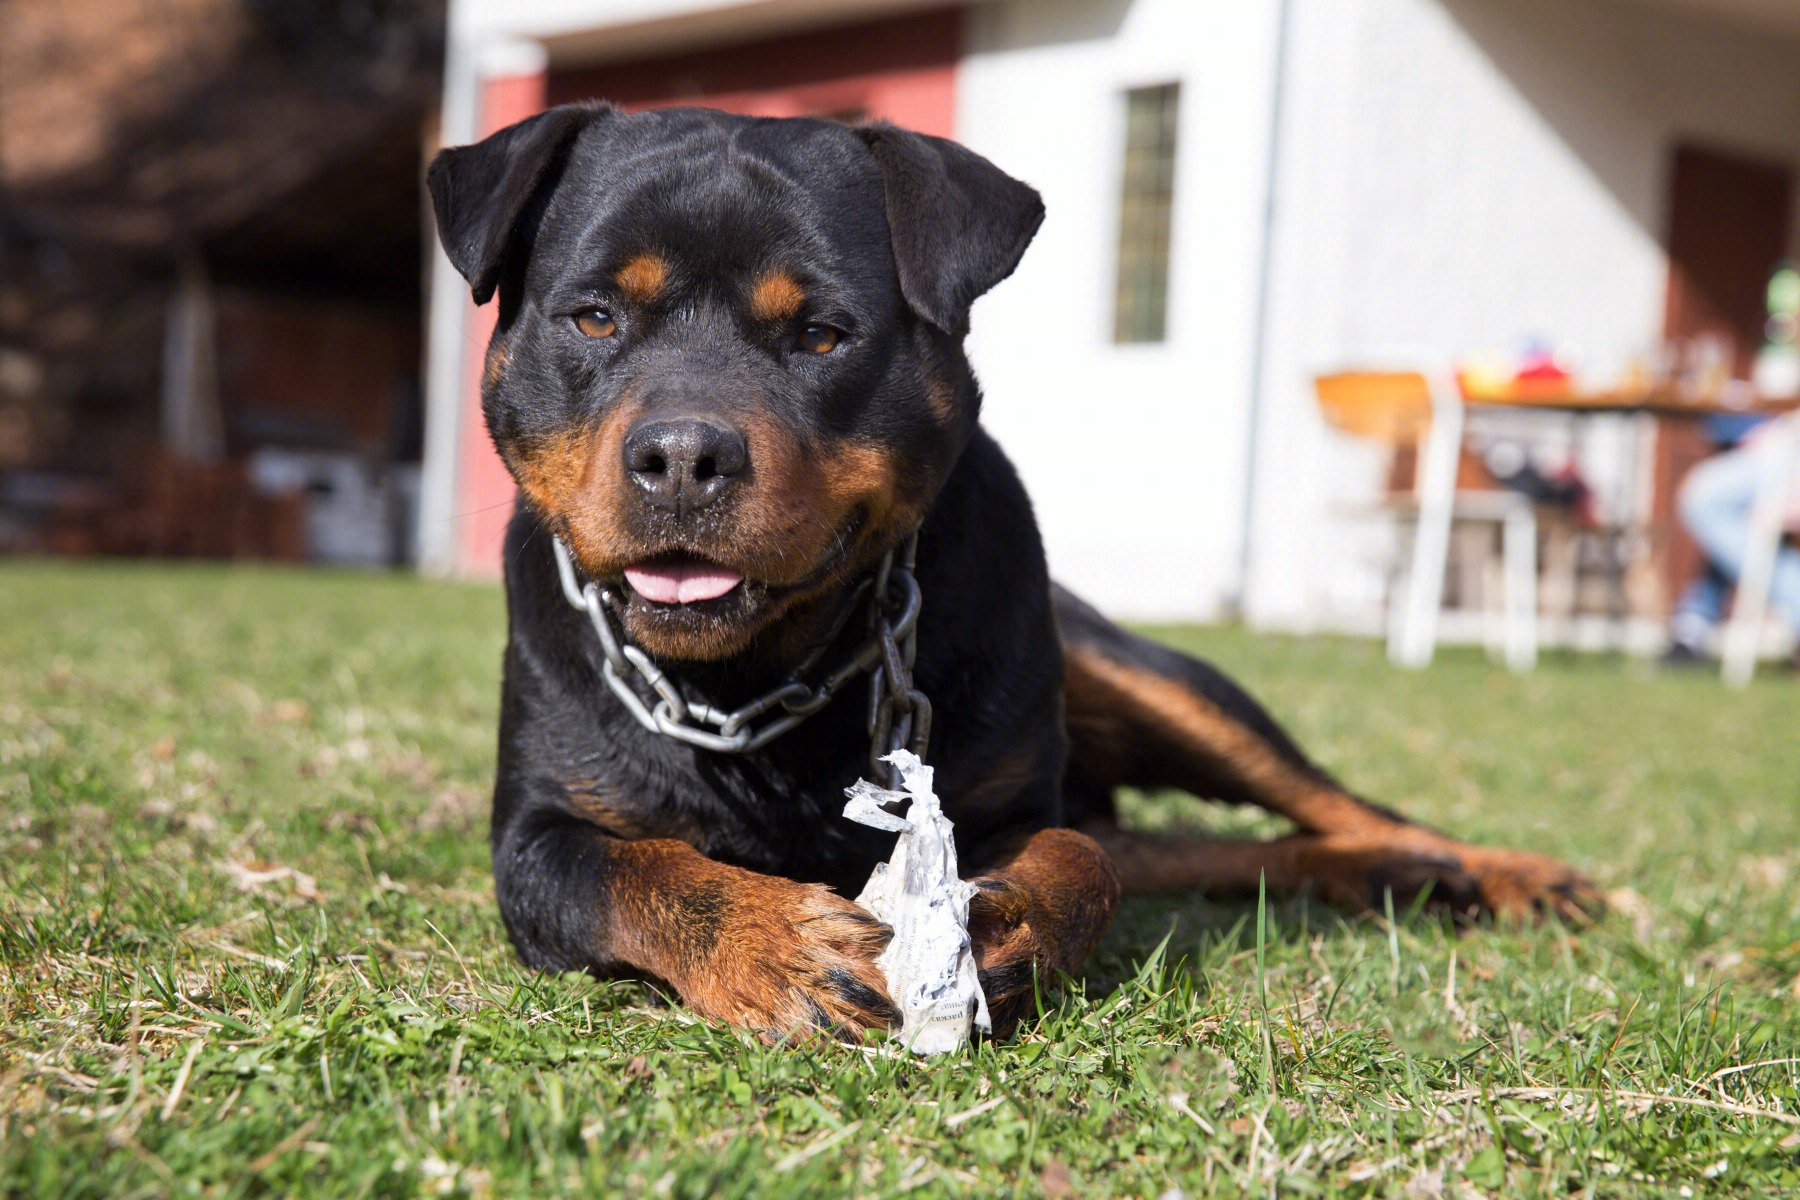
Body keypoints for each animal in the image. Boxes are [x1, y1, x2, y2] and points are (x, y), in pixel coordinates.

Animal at [428, 103, 1598, 1043]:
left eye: (822, 334)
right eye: (594, 315)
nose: (682, 455)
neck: (756, 678)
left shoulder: (1021, 797)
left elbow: (1082, 859)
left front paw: (1001, 925)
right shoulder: (534, 834)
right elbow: (638, 870)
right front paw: (773, 945)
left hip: (1150, 675)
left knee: (1313, 804)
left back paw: (1490, 869)